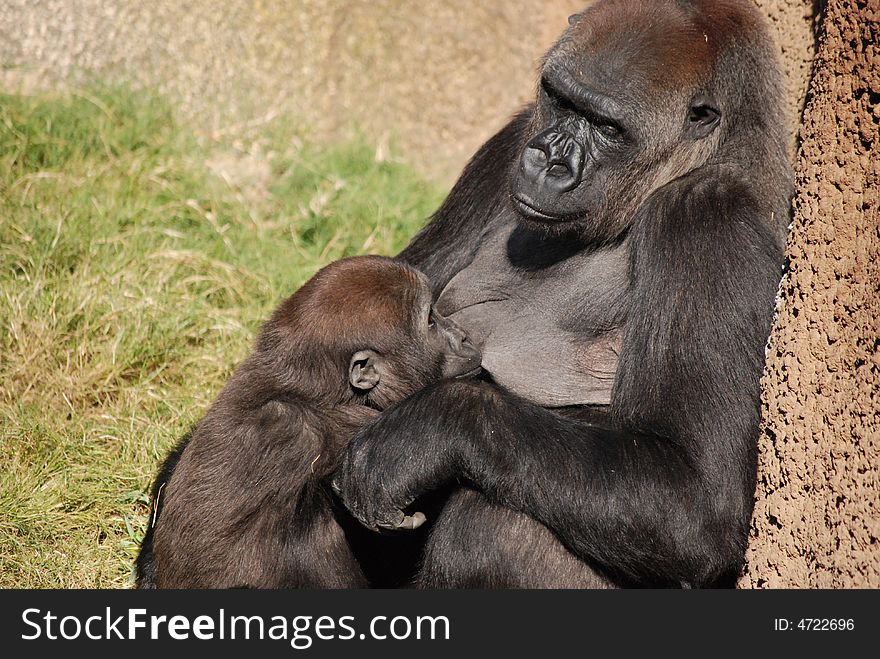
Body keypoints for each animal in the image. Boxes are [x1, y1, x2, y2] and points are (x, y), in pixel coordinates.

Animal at [334, 0, 796, 588]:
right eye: (561, 99)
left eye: (607, 127)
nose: (548, 162)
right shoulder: (510, 140)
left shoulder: (709, 218)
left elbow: (696, 498)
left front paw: (421, 434)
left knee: (495, 522)